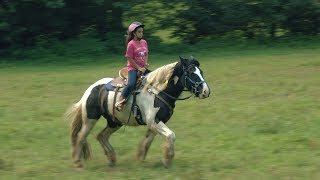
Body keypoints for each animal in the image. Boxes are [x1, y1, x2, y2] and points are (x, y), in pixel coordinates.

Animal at [65, 56, 210, 169]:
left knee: (101, 136)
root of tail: (89, 90)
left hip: (114, 122)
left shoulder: (154, 123)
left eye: (201, 72)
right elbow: (171, 135)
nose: (206, 92)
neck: (157, 92)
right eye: (191, 73)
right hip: (90, 119)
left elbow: (147, 141)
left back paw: (111, 160)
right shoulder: (154, 121)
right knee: (81, 137)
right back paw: (78, 163)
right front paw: (168, 159)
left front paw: (142, 158)